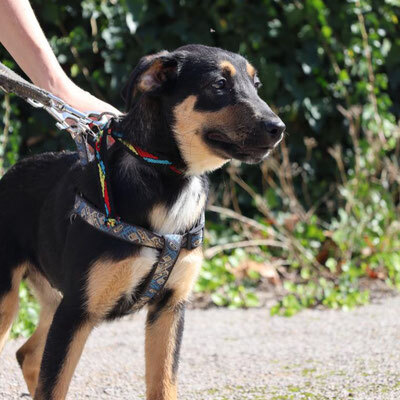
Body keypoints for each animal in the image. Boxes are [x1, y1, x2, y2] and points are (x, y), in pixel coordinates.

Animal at [0, 44, 284, 400]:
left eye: (256, 85)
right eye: (219, 84)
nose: (278, 128)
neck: (168, 181)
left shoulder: (169, 307)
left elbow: (163, 385)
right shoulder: (76, 311)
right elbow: (53, 387)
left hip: (53, 297)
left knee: (27, 354)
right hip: (9, 300)